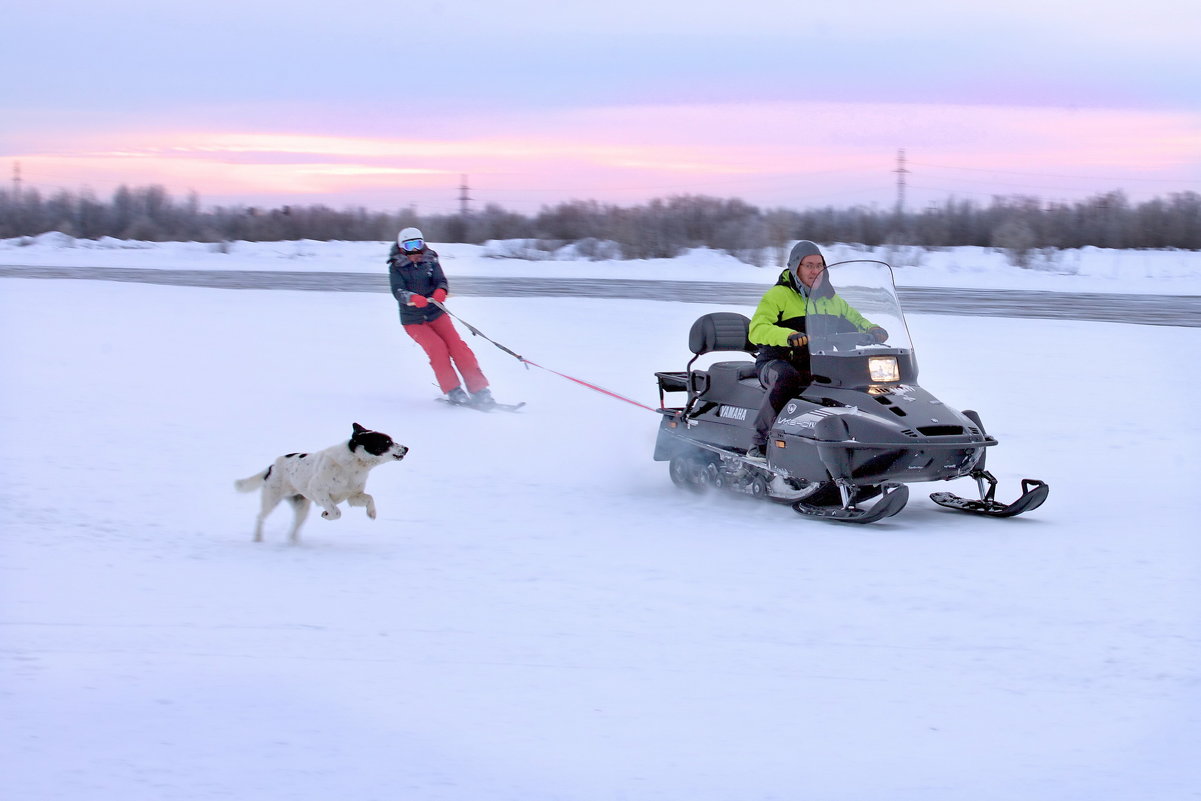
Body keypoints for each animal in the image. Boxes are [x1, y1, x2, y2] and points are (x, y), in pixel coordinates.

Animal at [236, 420, 410, 545]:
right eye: (386, 441)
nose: (407, 448)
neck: (354, 464)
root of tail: (272, 466)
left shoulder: (353, 496)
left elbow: (370, 497)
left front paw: (371, 512)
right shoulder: (319, 490)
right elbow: (336, 512)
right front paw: (327, 514)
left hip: (301, 507)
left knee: (294, 529)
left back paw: (294, 543)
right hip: (272, 498)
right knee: (260, 517)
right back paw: (258, 540)